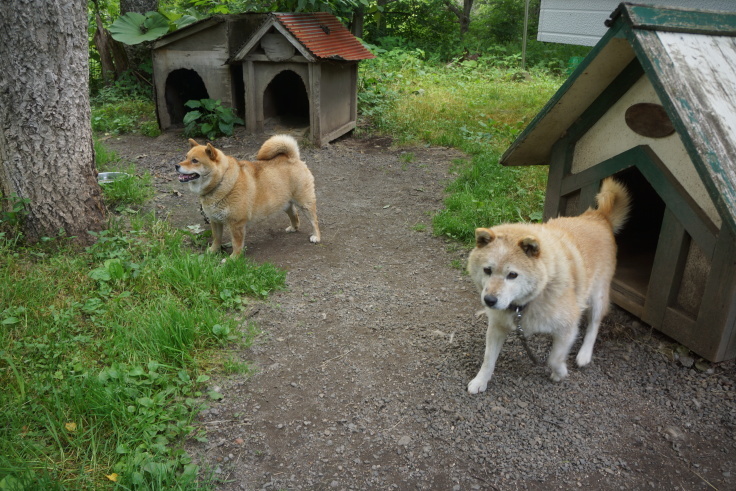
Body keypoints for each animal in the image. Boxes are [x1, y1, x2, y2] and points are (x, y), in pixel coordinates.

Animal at [177, 134, 320, 258]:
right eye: (185, 157)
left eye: (195, 161)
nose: (176, 165)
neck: (221, 180)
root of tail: (292, 157)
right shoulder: (215, 221)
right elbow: (216, 239)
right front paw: (212, 251)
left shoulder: (236, 224)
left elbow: (236, 244)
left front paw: (233, 259)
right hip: (285, 204)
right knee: (294, 214)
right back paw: (294, 227)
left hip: (305, 203)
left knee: (314, 221)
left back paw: (316, 237)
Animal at [466, 179, 632, 394]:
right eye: (487, 270)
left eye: (512, 275)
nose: (489, 300)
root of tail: (598, 217)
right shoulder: (496, 326)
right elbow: (488, 359)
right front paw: (480, 381)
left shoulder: (569, 325)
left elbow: (554, 358)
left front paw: (559, 372)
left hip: (598, 295)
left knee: (594, 325)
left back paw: (584, 354)